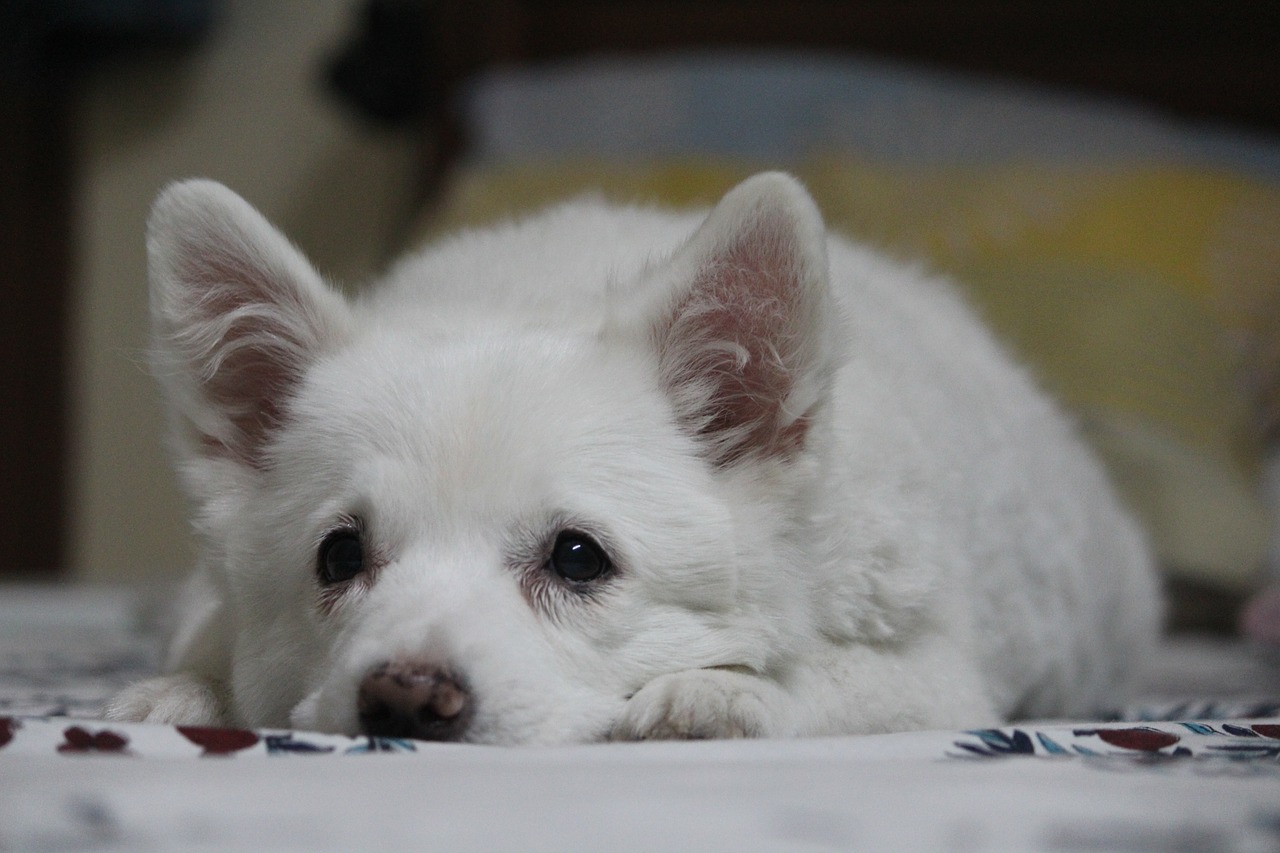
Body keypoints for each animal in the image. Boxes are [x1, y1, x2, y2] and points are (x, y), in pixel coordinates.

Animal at [104, 171, 1157, 737]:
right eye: (339, 557)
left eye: (578, 558)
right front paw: (183, 692)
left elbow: (823, 681)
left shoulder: (936, 674)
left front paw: (717, 690)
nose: (403, 697)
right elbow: (206, 660)